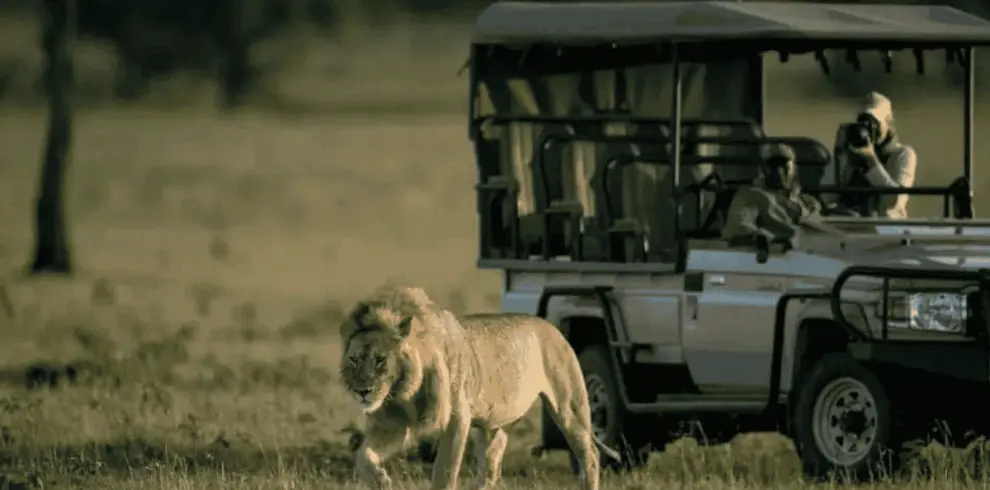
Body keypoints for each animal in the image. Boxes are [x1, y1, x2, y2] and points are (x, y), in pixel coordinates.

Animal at [338, 284, 622, 490]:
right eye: (353, 360)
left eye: (380, 360)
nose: (362, 391)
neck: (402, 393)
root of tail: (549, 325)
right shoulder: (396, 424)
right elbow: (363, 456)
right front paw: (381, 481)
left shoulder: (456, 418)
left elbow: (445, 472)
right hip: (496, 427)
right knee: (490, 471)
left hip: (569, 406)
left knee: (590, 454)